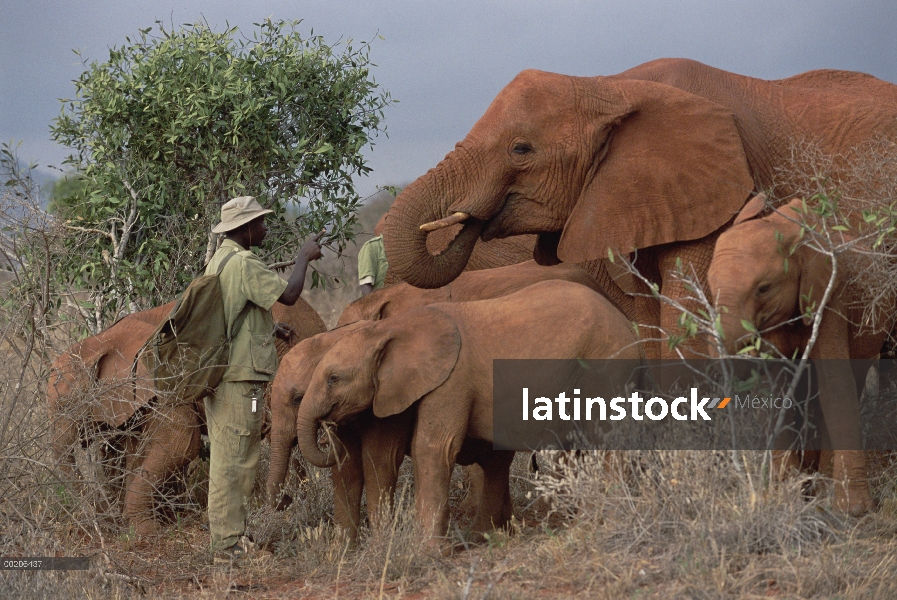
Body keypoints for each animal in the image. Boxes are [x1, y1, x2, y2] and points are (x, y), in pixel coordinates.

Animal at [46, 296, 326, 536]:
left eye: (68, 405)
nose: (103, 520)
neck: (101, 339)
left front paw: (145, 531)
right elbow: (130, 450)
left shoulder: (163, 382)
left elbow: (181, 443)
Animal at [384, 57, 896, 356]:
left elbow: (686, 320)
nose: (470, 219)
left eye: (521, 150)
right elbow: (651, 324)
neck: (608, 86)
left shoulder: (716, 196)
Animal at [704, 197, 892, 516]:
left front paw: (853, 511)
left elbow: (835, 386)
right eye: (709, 286)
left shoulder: (830, 295)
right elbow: (773, 391)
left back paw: (823, 489)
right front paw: (784, 502)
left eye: (763, 288)